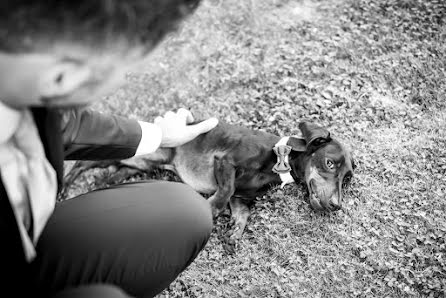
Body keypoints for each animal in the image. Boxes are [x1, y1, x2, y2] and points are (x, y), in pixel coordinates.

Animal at [61, 120, 356, 243]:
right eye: (330, 163)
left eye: (347, 178)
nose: (337, 205)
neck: (276, 157)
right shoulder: (224, 162)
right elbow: (224, 192)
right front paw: (211, 209)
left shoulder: (241, 199)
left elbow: (242, 214)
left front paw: (234, 234)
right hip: (138, 153)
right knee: (81, 164)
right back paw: (63, 189)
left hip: (142, 163)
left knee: (117, 172)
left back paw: (103, 184)